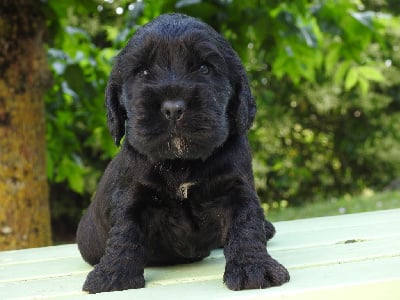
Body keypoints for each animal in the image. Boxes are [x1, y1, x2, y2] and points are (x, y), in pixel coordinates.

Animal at [76, 12, 290, 292]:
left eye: (204, 68)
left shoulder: (236, 187)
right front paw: (114, 275)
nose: (173, 108)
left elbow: (245, 225)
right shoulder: (132, 194)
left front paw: (253, 268)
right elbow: (124, 230)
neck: (181, 163)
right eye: (143, 71)